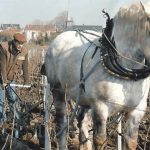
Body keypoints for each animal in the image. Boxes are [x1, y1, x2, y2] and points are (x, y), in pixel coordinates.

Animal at [43, 1, 150, 150]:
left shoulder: (138, 110)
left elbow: (131, 141)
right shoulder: (100, 107)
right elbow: (100, 140)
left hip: (84, 98)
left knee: (82, 120)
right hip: (58, 91)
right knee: (62, 124)